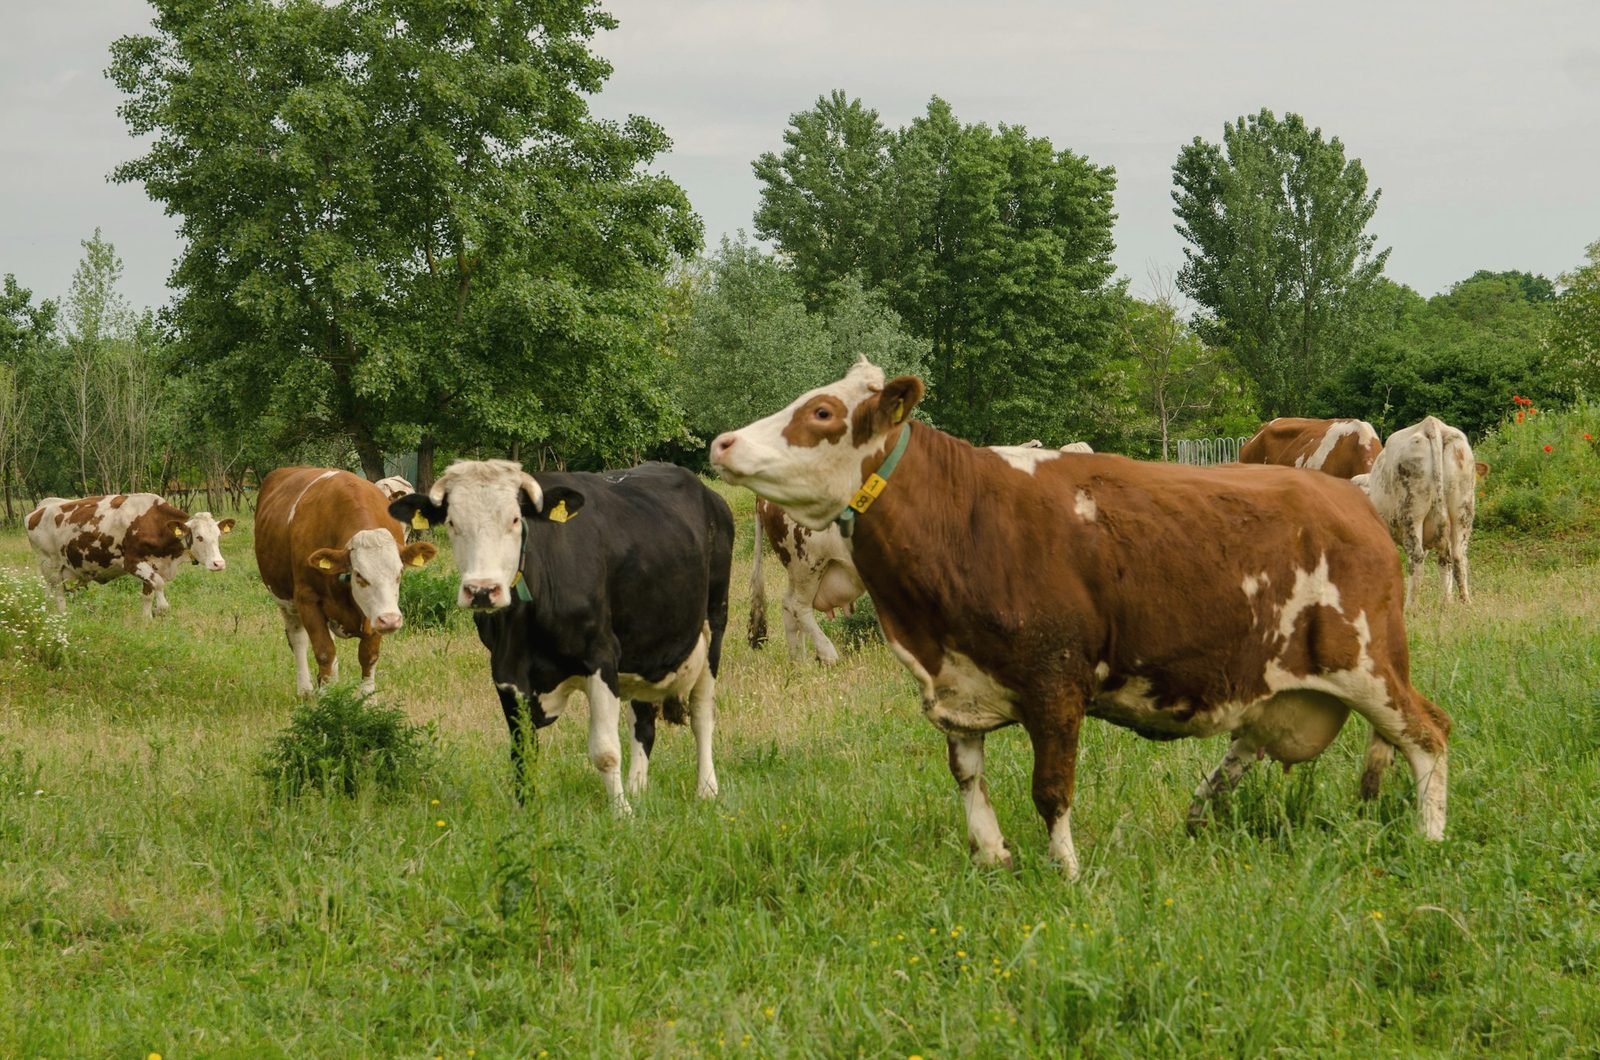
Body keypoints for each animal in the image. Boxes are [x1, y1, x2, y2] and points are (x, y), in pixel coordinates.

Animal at [25, 494, 234, 618]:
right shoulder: (132, 562)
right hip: (50, 565)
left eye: (218, 536)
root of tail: (40, 508)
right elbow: (159, 585)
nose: (219, 563)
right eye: (199, 537)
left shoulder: (153, 565)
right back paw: (62, 617)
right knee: (59, 595)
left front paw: (146, 621)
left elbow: (148, 594)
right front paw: (160, 609)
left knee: (49, 593)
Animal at [255, 468, 438, 695]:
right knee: (298, 639)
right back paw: (305, 689)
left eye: (399, 572)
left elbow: (368, 656)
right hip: (284, 600)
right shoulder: (307, 599)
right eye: (359, 575)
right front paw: (327, 699)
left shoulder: (374, 612)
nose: (390, 620)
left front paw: (367, 699)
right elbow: (324, 652)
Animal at [387, 460, 734, 811]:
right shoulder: (505, 671)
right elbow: (522, 750)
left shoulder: (602, 656)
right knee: (644, 722)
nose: (482, 590)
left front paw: (621, 812)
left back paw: (707, 789)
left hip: (714, 622)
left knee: (702, 714)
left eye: (515, 519)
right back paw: (638, 788)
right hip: (645, 644)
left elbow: (606, 750)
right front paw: (525, 810)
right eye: (452, 522)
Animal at [748, 497, 865, 664]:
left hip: (796, 571)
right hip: (807, 564)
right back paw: (828, 655)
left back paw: (799, 662)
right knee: (797, 605)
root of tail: (760, 498)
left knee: (787, 603)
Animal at [1350, 416, 1487, 607]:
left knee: (1417, 559)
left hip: (1411, 513)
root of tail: (1431, 424)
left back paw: (1411, 606)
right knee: (1457, 558)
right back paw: (1458, 603)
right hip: (1462, 511)